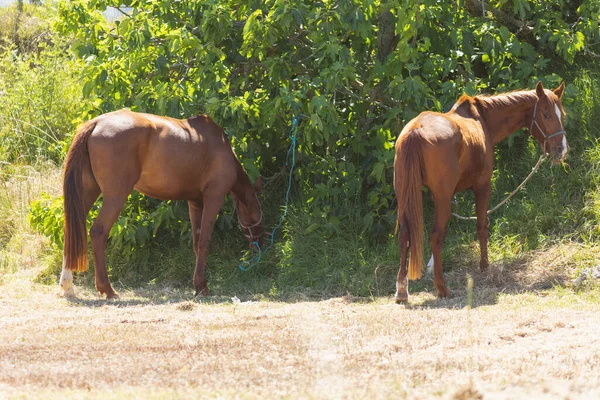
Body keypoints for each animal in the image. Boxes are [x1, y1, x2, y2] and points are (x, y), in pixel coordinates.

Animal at [59, 108, 264, 296]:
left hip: (88, 192)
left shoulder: (195, 202)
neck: (219, 145)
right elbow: (204, 241)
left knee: (71, 230)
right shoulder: (213, 198)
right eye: (256, 213)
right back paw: (107, 289)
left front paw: (198, 284)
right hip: (115, 196)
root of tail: (96, 123)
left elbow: (196, 243)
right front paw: (202, 287)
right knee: (98, 232)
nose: (259, 246)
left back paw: (67, 285)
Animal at [394, 81, 568, 302]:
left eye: (561, 114)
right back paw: (442, 288)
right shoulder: (483, 186)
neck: (482, 119)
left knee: (404, 235)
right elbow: (482, 226)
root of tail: (415, 131)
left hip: (404, 194)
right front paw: (484, 266)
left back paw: (402, 291)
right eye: (546, 115)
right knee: (435, 236)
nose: (561, 150)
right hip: (441, 197)